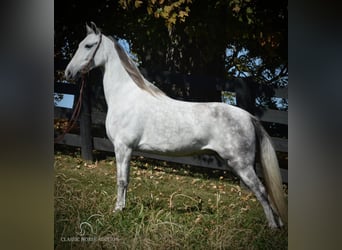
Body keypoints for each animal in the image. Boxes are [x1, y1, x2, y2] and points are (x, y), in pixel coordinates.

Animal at [65, 22, 288, 228]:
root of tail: (248, 117)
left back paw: (272, 227)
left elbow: (122, 180)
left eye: (88, 46)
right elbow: (124, 180)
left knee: (261, 191)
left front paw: (118, 210)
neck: (125, 96)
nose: (68, 73)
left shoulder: (123, 147)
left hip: (242, 164)